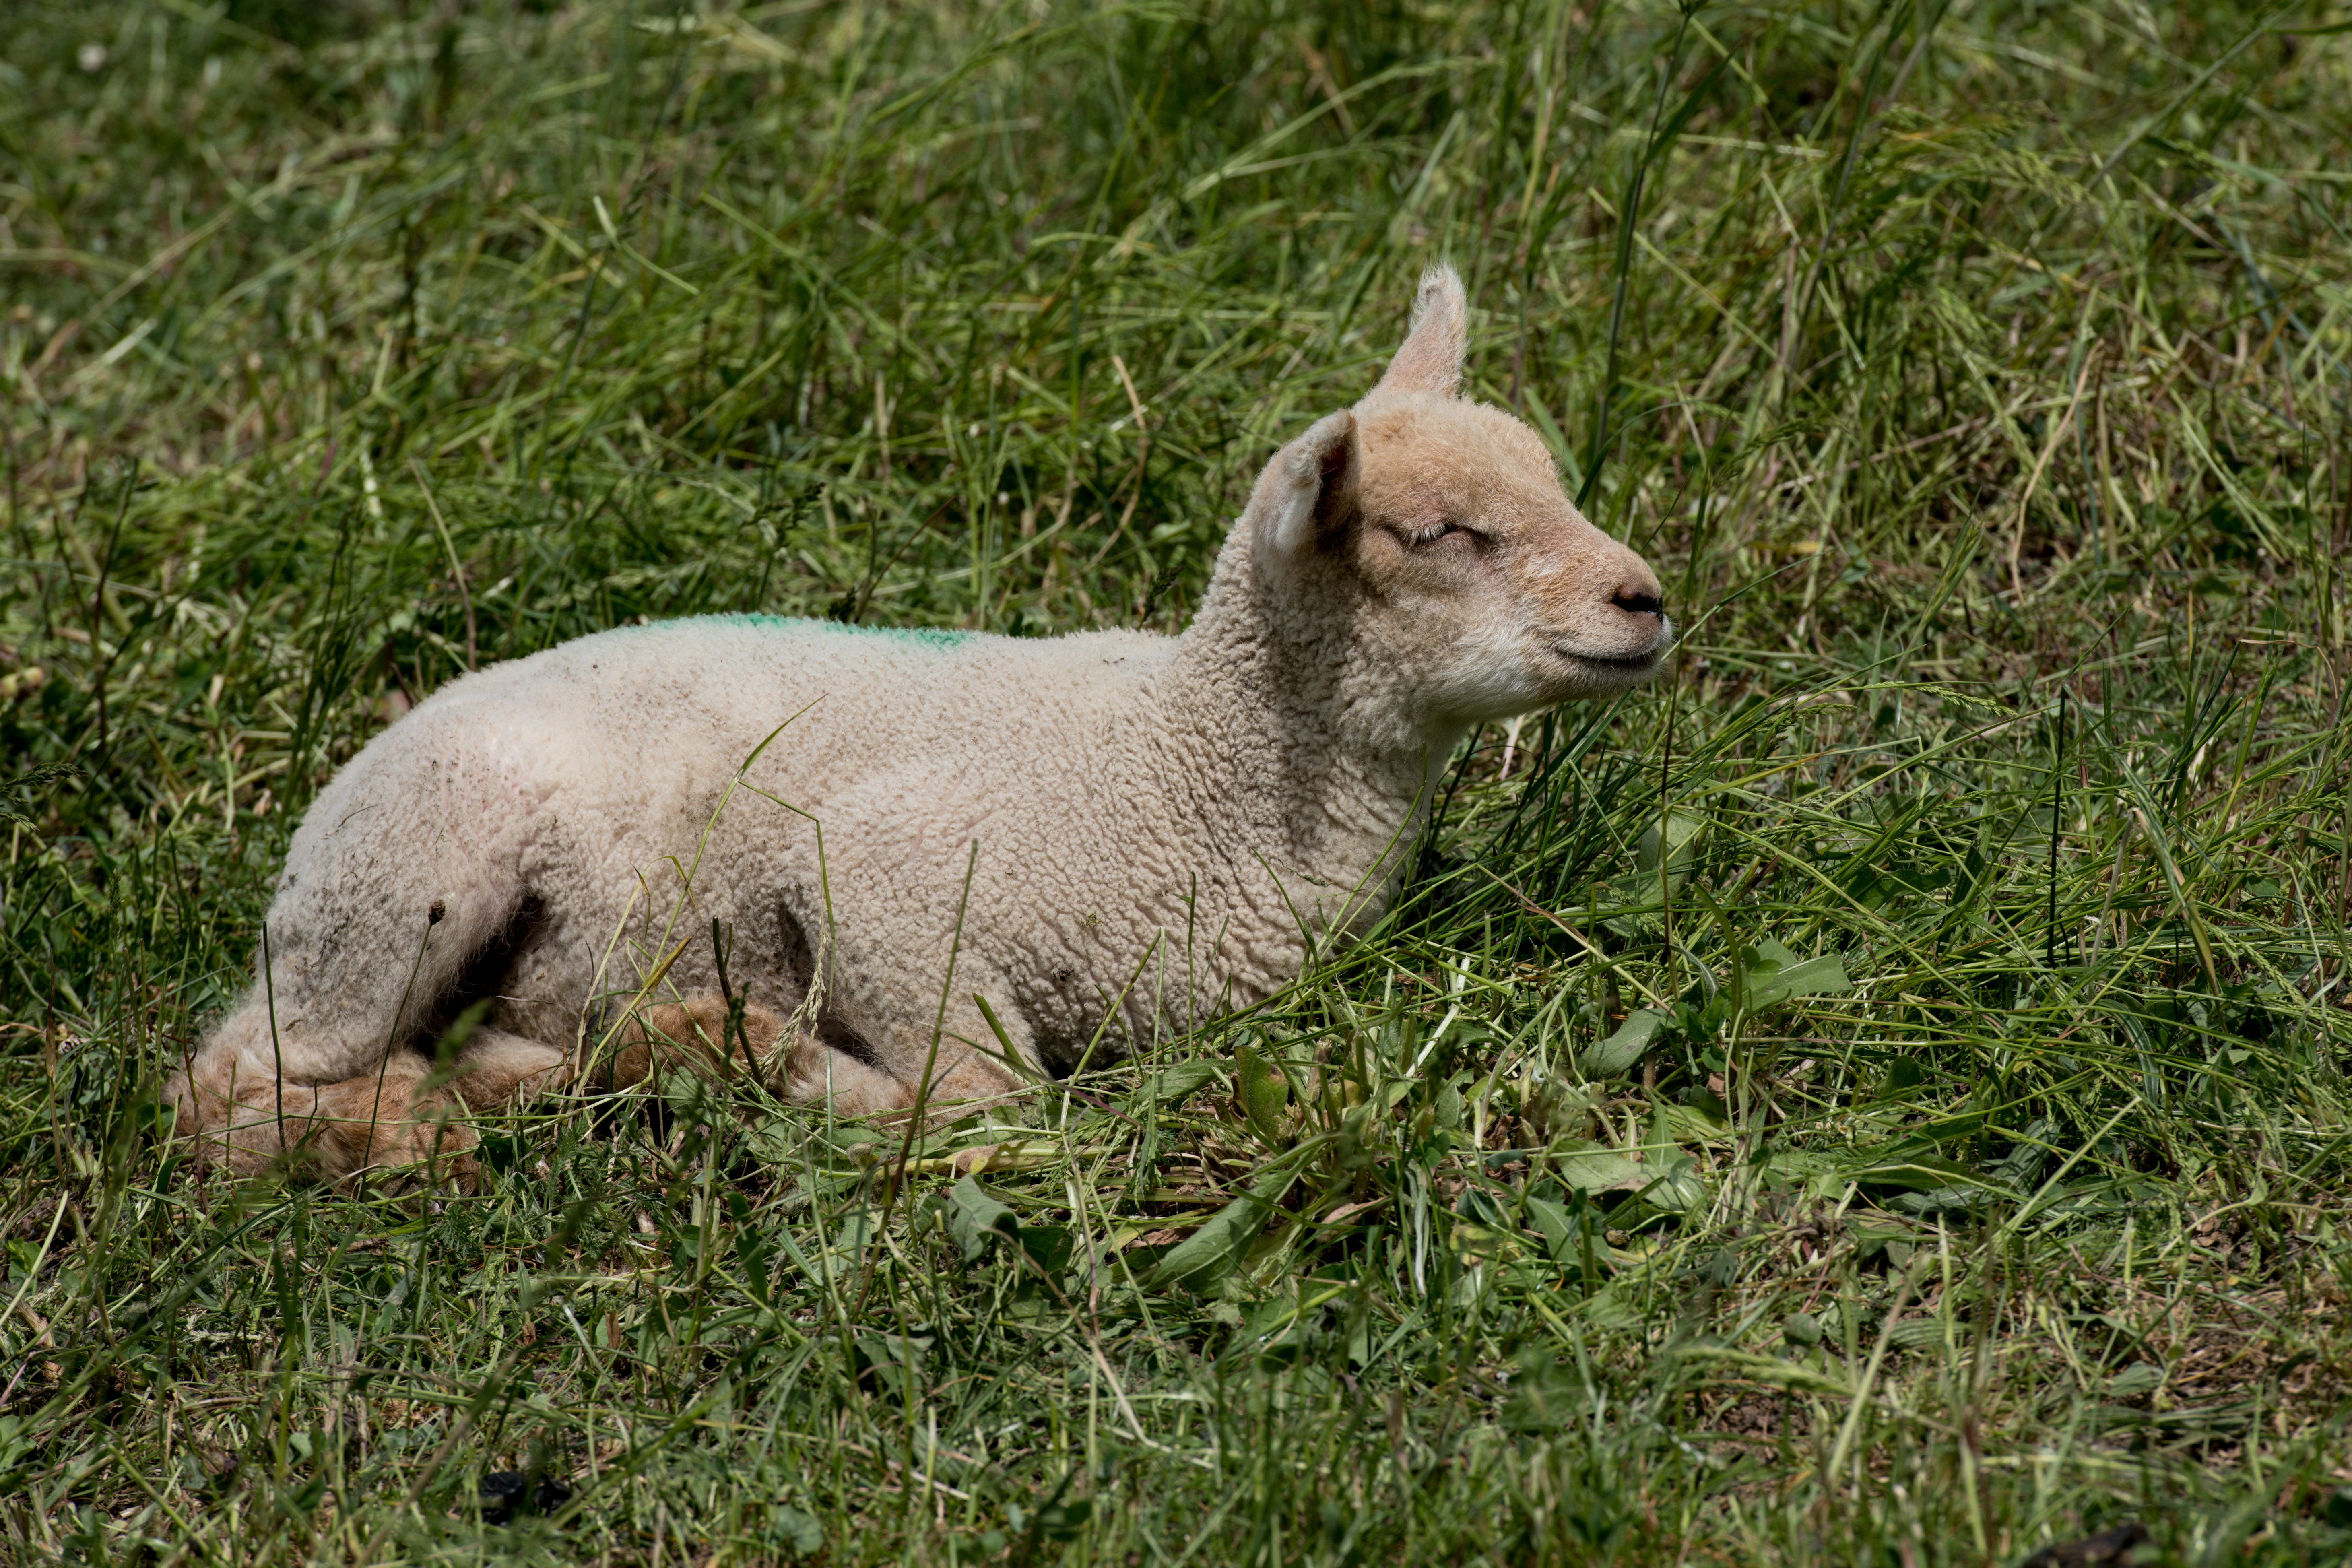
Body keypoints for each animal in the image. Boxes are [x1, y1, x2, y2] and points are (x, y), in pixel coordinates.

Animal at [166, 265, 1674, 1184]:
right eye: (1441, 534)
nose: (1647, 599)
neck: (1193, 762)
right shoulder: (880, 867)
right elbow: (986, 1099)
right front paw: (781, 1068)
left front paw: (726, 1056)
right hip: (409, 866)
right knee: (230, 1081)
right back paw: (426, 1121)